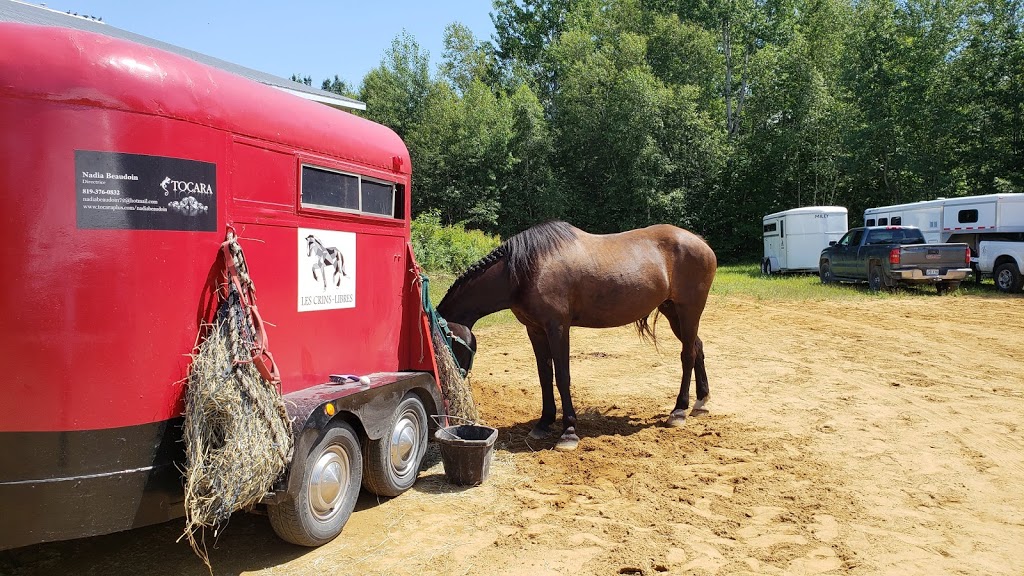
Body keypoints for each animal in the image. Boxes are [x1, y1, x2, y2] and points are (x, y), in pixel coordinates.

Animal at [436, 219, 716, 448]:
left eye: (447, 340)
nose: (451, 385)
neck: (523, 272)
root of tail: (701, 243)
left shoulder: (558, 327)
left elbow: (562, 376)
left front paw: (568, 431)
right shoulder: (535, 330)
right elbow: (544, 376)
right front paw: (544, 422)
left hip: (689, 310)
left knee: (687, 355)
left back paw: (678, 411)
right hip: (673, 312)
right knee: (697, 348)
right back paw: (701, 400)